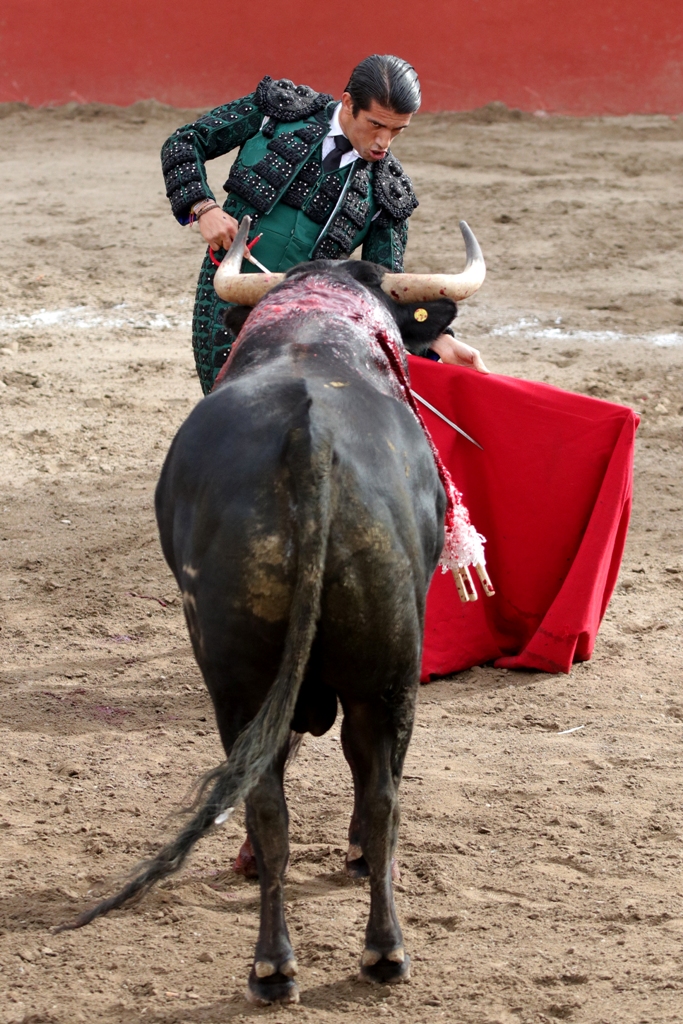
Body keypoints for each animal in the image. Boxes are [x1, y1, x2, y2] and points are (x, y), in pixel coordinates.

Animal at [58, 220, 485, 1003]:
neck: (318, 329)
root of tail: (308, 444)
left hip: (245, 678)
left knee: (274, 796)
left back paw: (290, 960)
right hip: (385, 675)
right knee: (375, 791)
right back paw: (351, 952)